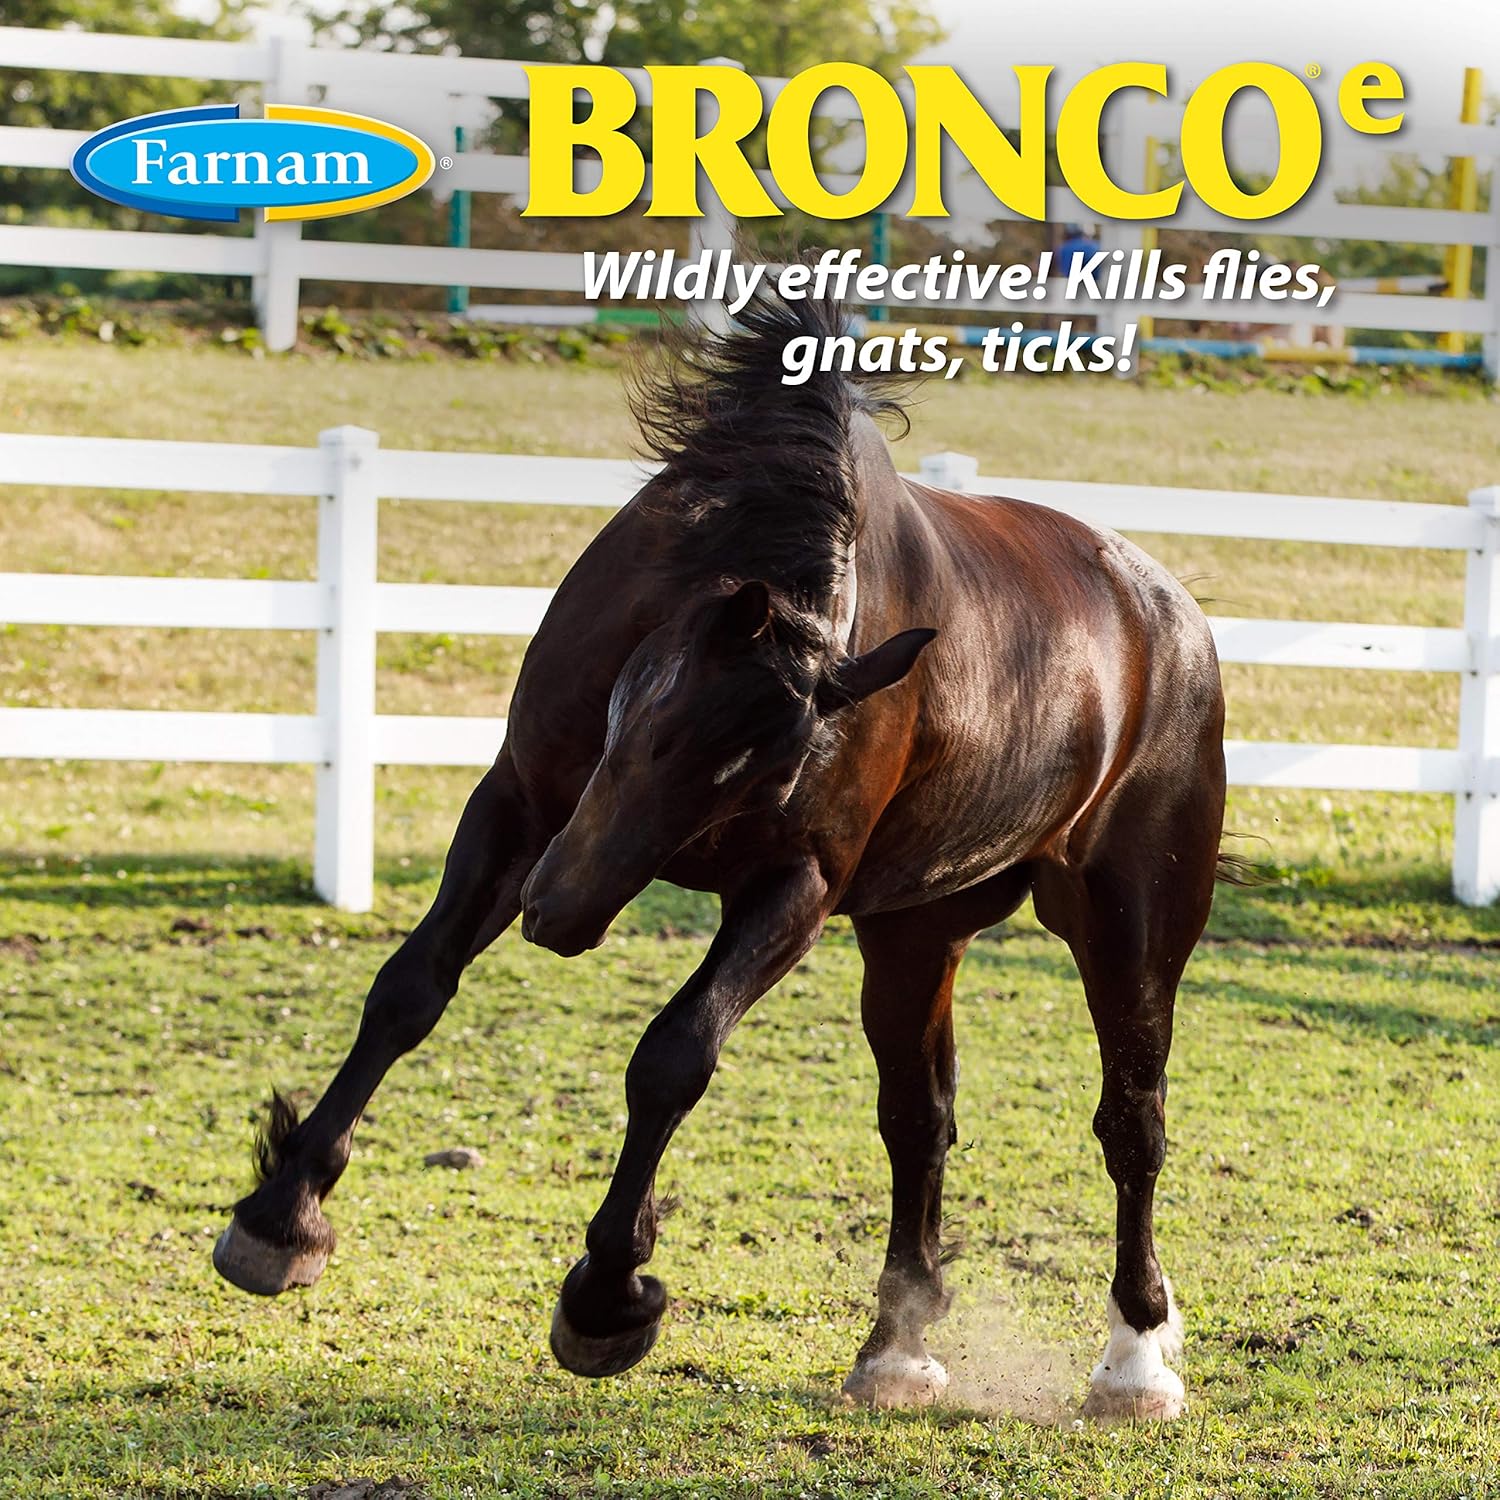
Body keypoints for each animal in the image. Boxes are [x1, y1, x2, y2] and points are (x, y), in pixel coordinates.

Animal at [212, 289, 1226, 1420]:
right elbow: (409, 988)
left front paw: (608, 1294)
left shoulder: (794, 887)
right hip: (913, 932)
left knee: (1132, 1121)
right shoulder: (519, 803)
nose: (559, 911)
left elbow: (674, 1058)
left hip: (1130, 924)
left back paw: (1135, 1357)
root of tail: (1170, 614)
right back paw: (897, 1344)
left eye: (764, 776)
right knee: (918, 1121)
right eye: (650, 718)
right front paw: (280, 1213)